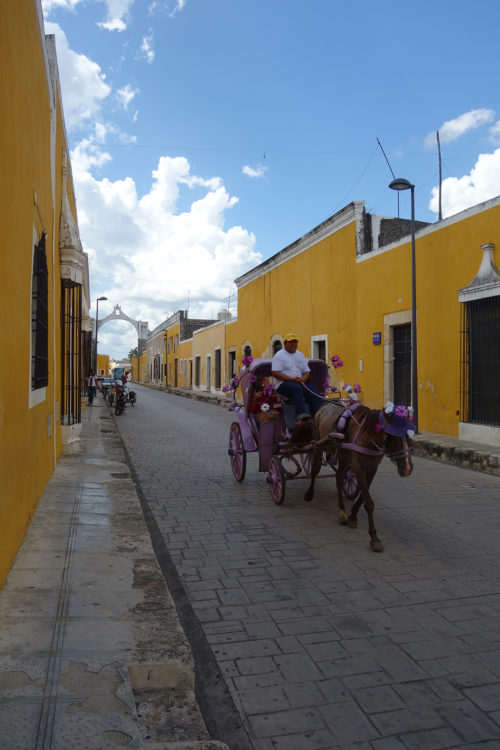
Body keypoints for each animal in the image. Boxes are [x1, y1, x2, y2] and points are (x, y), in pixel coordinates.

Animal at [304, 406, 414, 552]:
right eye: (394, 437)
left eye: (409, 437)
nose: (407, 469)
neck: (369, 435)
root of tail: (323, 407)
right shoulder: (358, 468)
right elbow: (369, 503)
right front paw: (374, 538)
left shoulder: (372, 469)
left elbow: (363, 496)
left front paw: (352, 516)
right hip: (317, 445)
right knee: (315, 470)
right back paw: (309, 494)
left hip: (343, 456)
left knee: (339, 478)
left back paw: (342, 512)